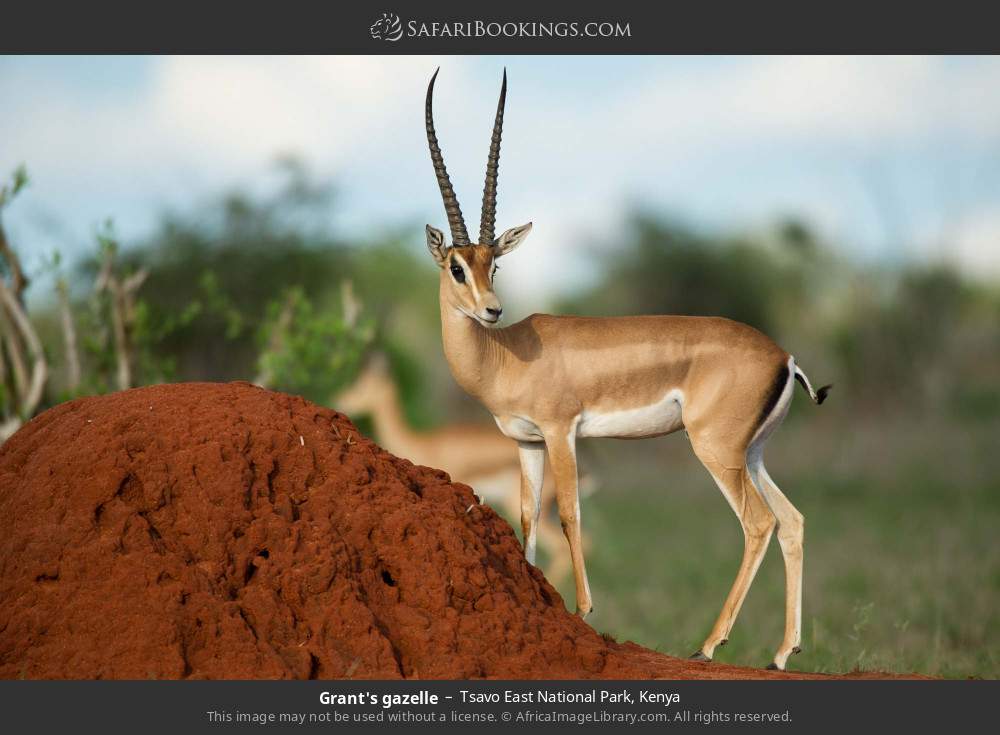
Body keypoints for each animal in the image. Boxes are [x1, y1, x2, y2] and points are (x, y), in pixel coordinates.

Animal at [421, 69, 831, 671]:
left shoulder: (561, 432)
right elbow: (528, 519)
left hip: (715, 450)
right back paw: (781, 653)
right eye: (457, 266)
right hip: (751, 453)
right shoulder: (526, 443)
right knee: (794, 520)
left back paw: (708, 645)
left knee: (760, 522)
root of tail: (785, 357)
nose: (492, 310)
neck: (505, 354)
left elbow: (570, 514)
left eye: (493, 265)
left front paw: (583, 610)